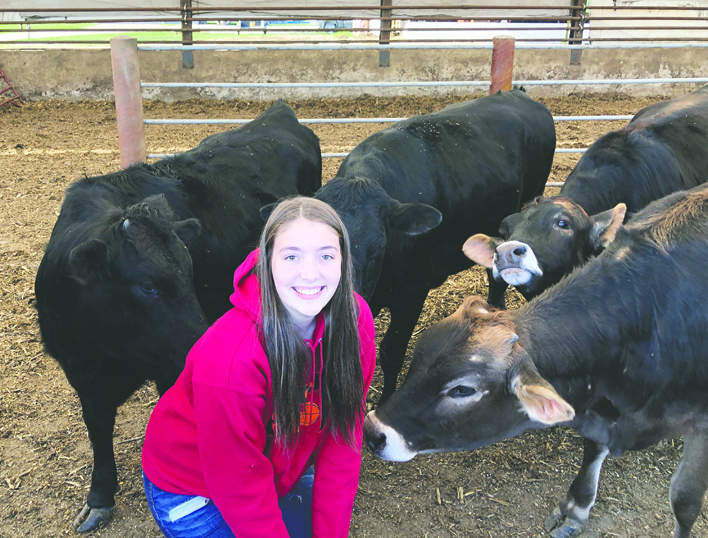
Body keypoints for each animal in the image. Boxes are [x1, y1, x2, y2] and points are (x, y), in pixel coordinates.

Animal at [34, 101, 320, 532]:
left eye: (190, 272)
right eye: (147, 286)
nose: (200, 339)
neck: (109, 354)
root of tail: (277, 113)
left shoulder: (170, 367)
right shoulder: (82, 374)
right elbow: (98, 430)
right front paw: (99, 497)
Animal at [368, 181, 708, 536]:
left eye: (462, 390)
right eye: (416, 359)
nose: (372, 430)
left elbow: (684, 500)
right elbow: (591, 451)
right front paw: (576, 508)